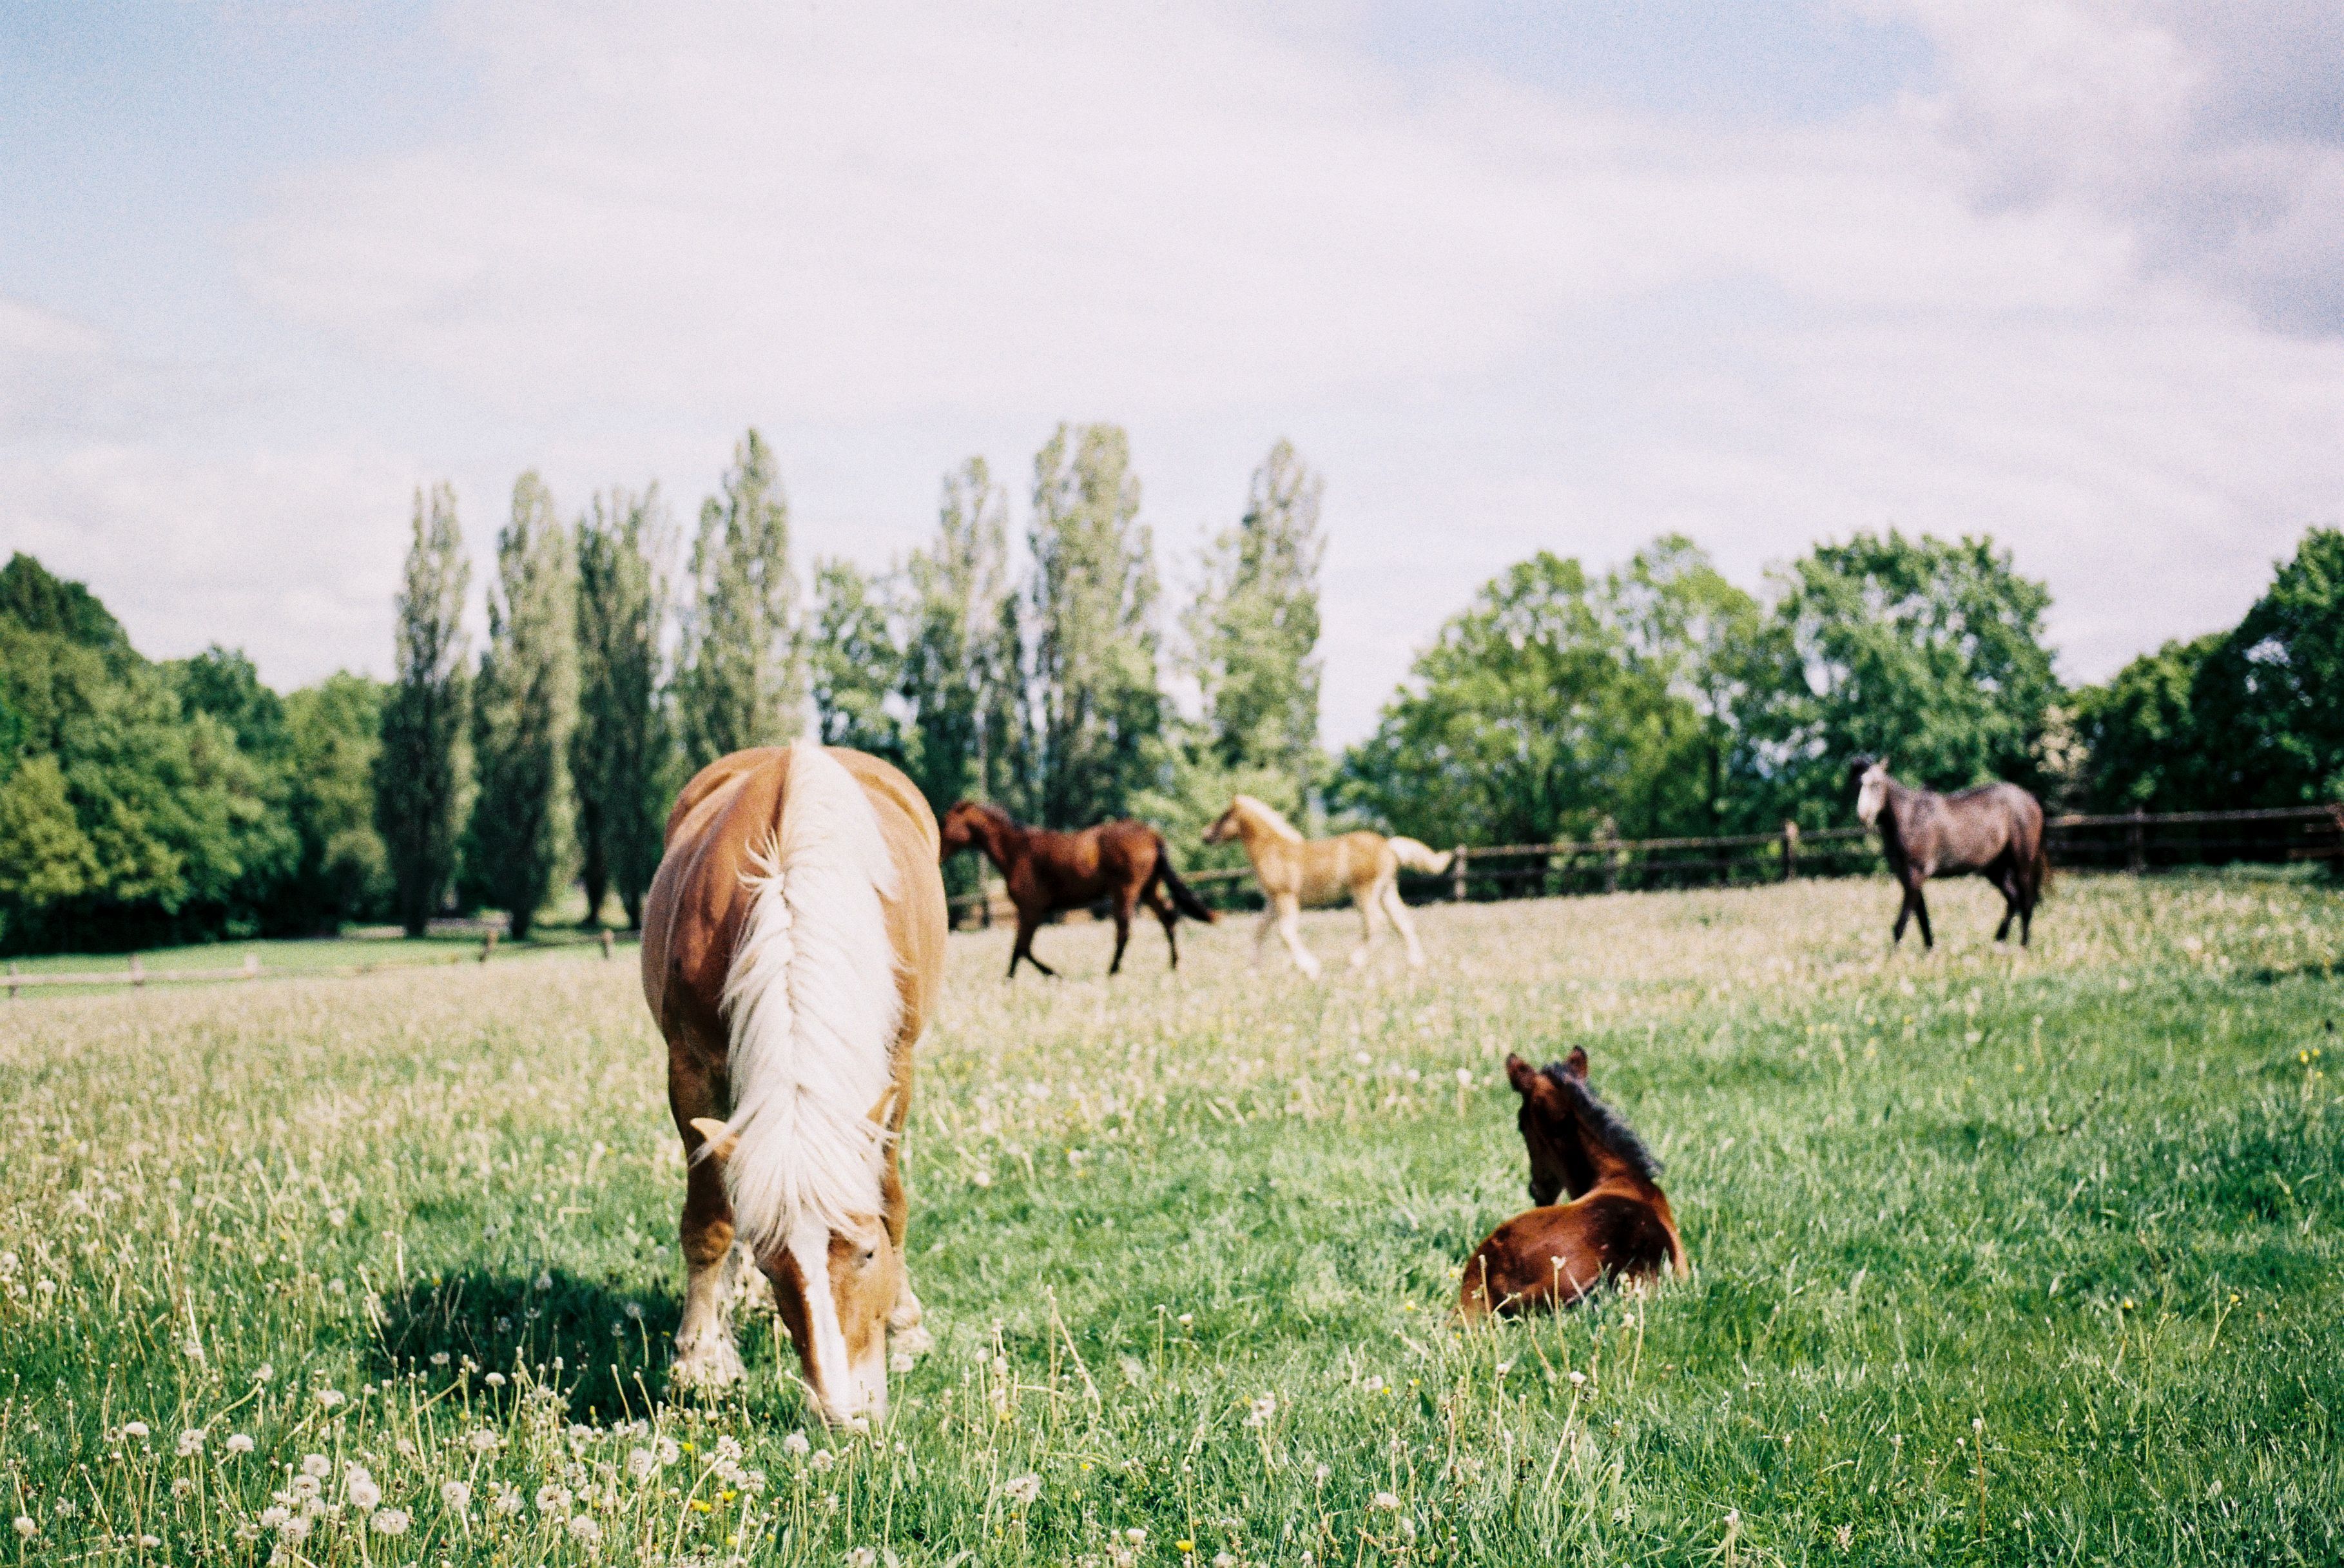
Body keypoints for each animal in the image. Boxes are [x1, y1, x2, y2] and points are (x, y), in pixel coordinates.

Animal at [639, 742, 947, 1426]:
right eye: (774, 1265)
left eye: (866, 1253)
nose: (842, 1413)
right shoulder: (688, 1070)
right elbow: (710, 1218)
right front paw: (701, 1360)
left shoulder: (896, 1066)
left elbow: (890, 1197)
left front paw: (906, 1327)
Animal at [938, 801, 1217, 979]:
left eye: (944, 822)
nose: (937, 854)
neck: (1018, 852)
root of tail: (1151, 835)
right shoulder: (1031, 912)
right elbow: (1020, 949)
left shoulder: (1031, 909)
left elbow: (1021, 949)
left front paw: (1047, 974)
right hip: (1149, 890)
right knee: (1168, 918)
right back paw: (1174, 965)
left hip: (1125, 891)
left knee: (1124, 930)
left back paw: (1112, 971)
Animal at [1200, 795, 1451, 978]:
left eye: (1224, 816)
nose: (1205, 835)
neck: (1274, 850)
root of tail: (1389, 846)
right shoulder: (1272, 902)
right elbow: (1259, 931)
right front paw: (1252, 971)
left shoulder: (1285, 897)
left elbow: (1285, 933)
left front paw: (1311, 968)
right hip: (1386, 891)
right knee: (1402, 922)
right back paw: (1416, 965)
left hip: (1365, 892)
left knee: (1376, 922)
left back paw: (1353, 964)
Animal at [1851, 757, 2047, 950]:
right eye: (1857, 784)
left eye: (1876, 784)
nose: (1864, 816)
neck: (1910, 818)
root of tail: (2030, 800)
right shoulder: (1907, 877)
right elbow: (1922, 917)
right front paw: (1929, 950)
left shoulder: (1915, 874)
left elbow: (1902, 922)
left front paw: (1895, 955)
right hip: (1996, 869)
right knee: (2014, 899)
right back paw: (1999, 941)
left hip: (2022, 864)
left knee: (2026, 902)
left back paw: (2023, 945)